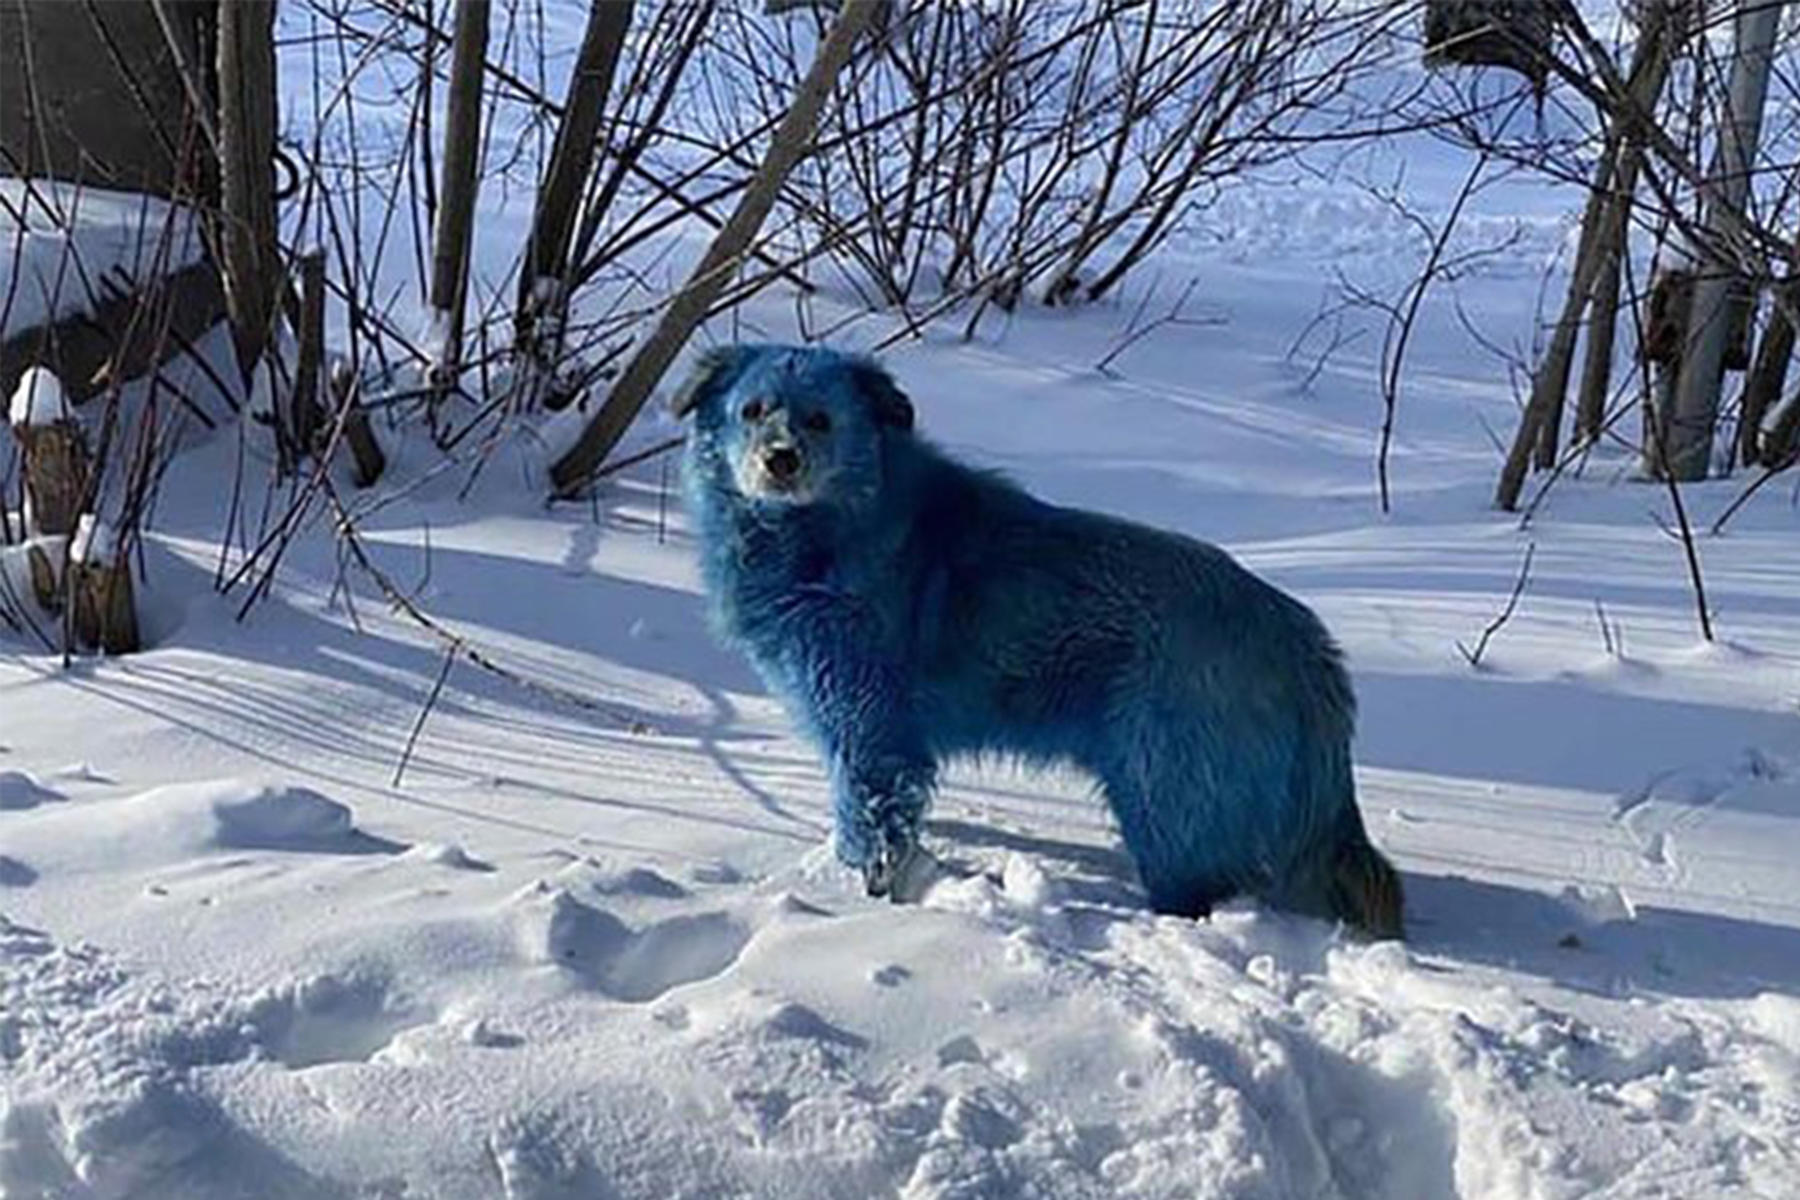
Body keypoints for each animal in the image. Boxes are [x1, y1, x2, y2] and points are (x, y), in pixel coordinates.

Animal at [680, 340, 1396, 935]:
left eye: (821, 420)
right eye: (753, 410)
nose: (780, 461)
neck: (832, 528)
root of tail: (1306, 647)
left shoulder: (868, 728)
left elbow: (871, 820)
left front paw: (862, 900)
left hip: (1161, 797)